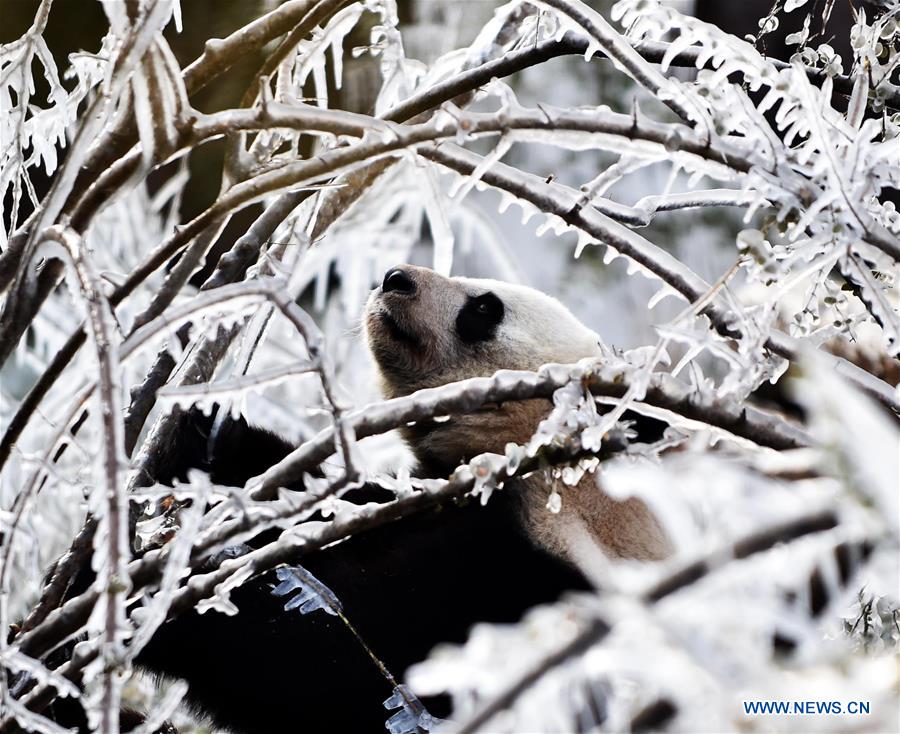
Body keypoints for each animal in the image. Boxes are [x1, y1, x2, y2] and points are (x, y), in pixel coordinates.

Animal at [40, 268, 668, 732]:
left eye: (485, 309)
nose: (396, 277)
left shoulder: (511, 581)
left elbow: (326, 670)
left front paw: (144, 610)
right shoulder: (428, 502)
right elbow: (328, 504)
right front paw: (201, 432)